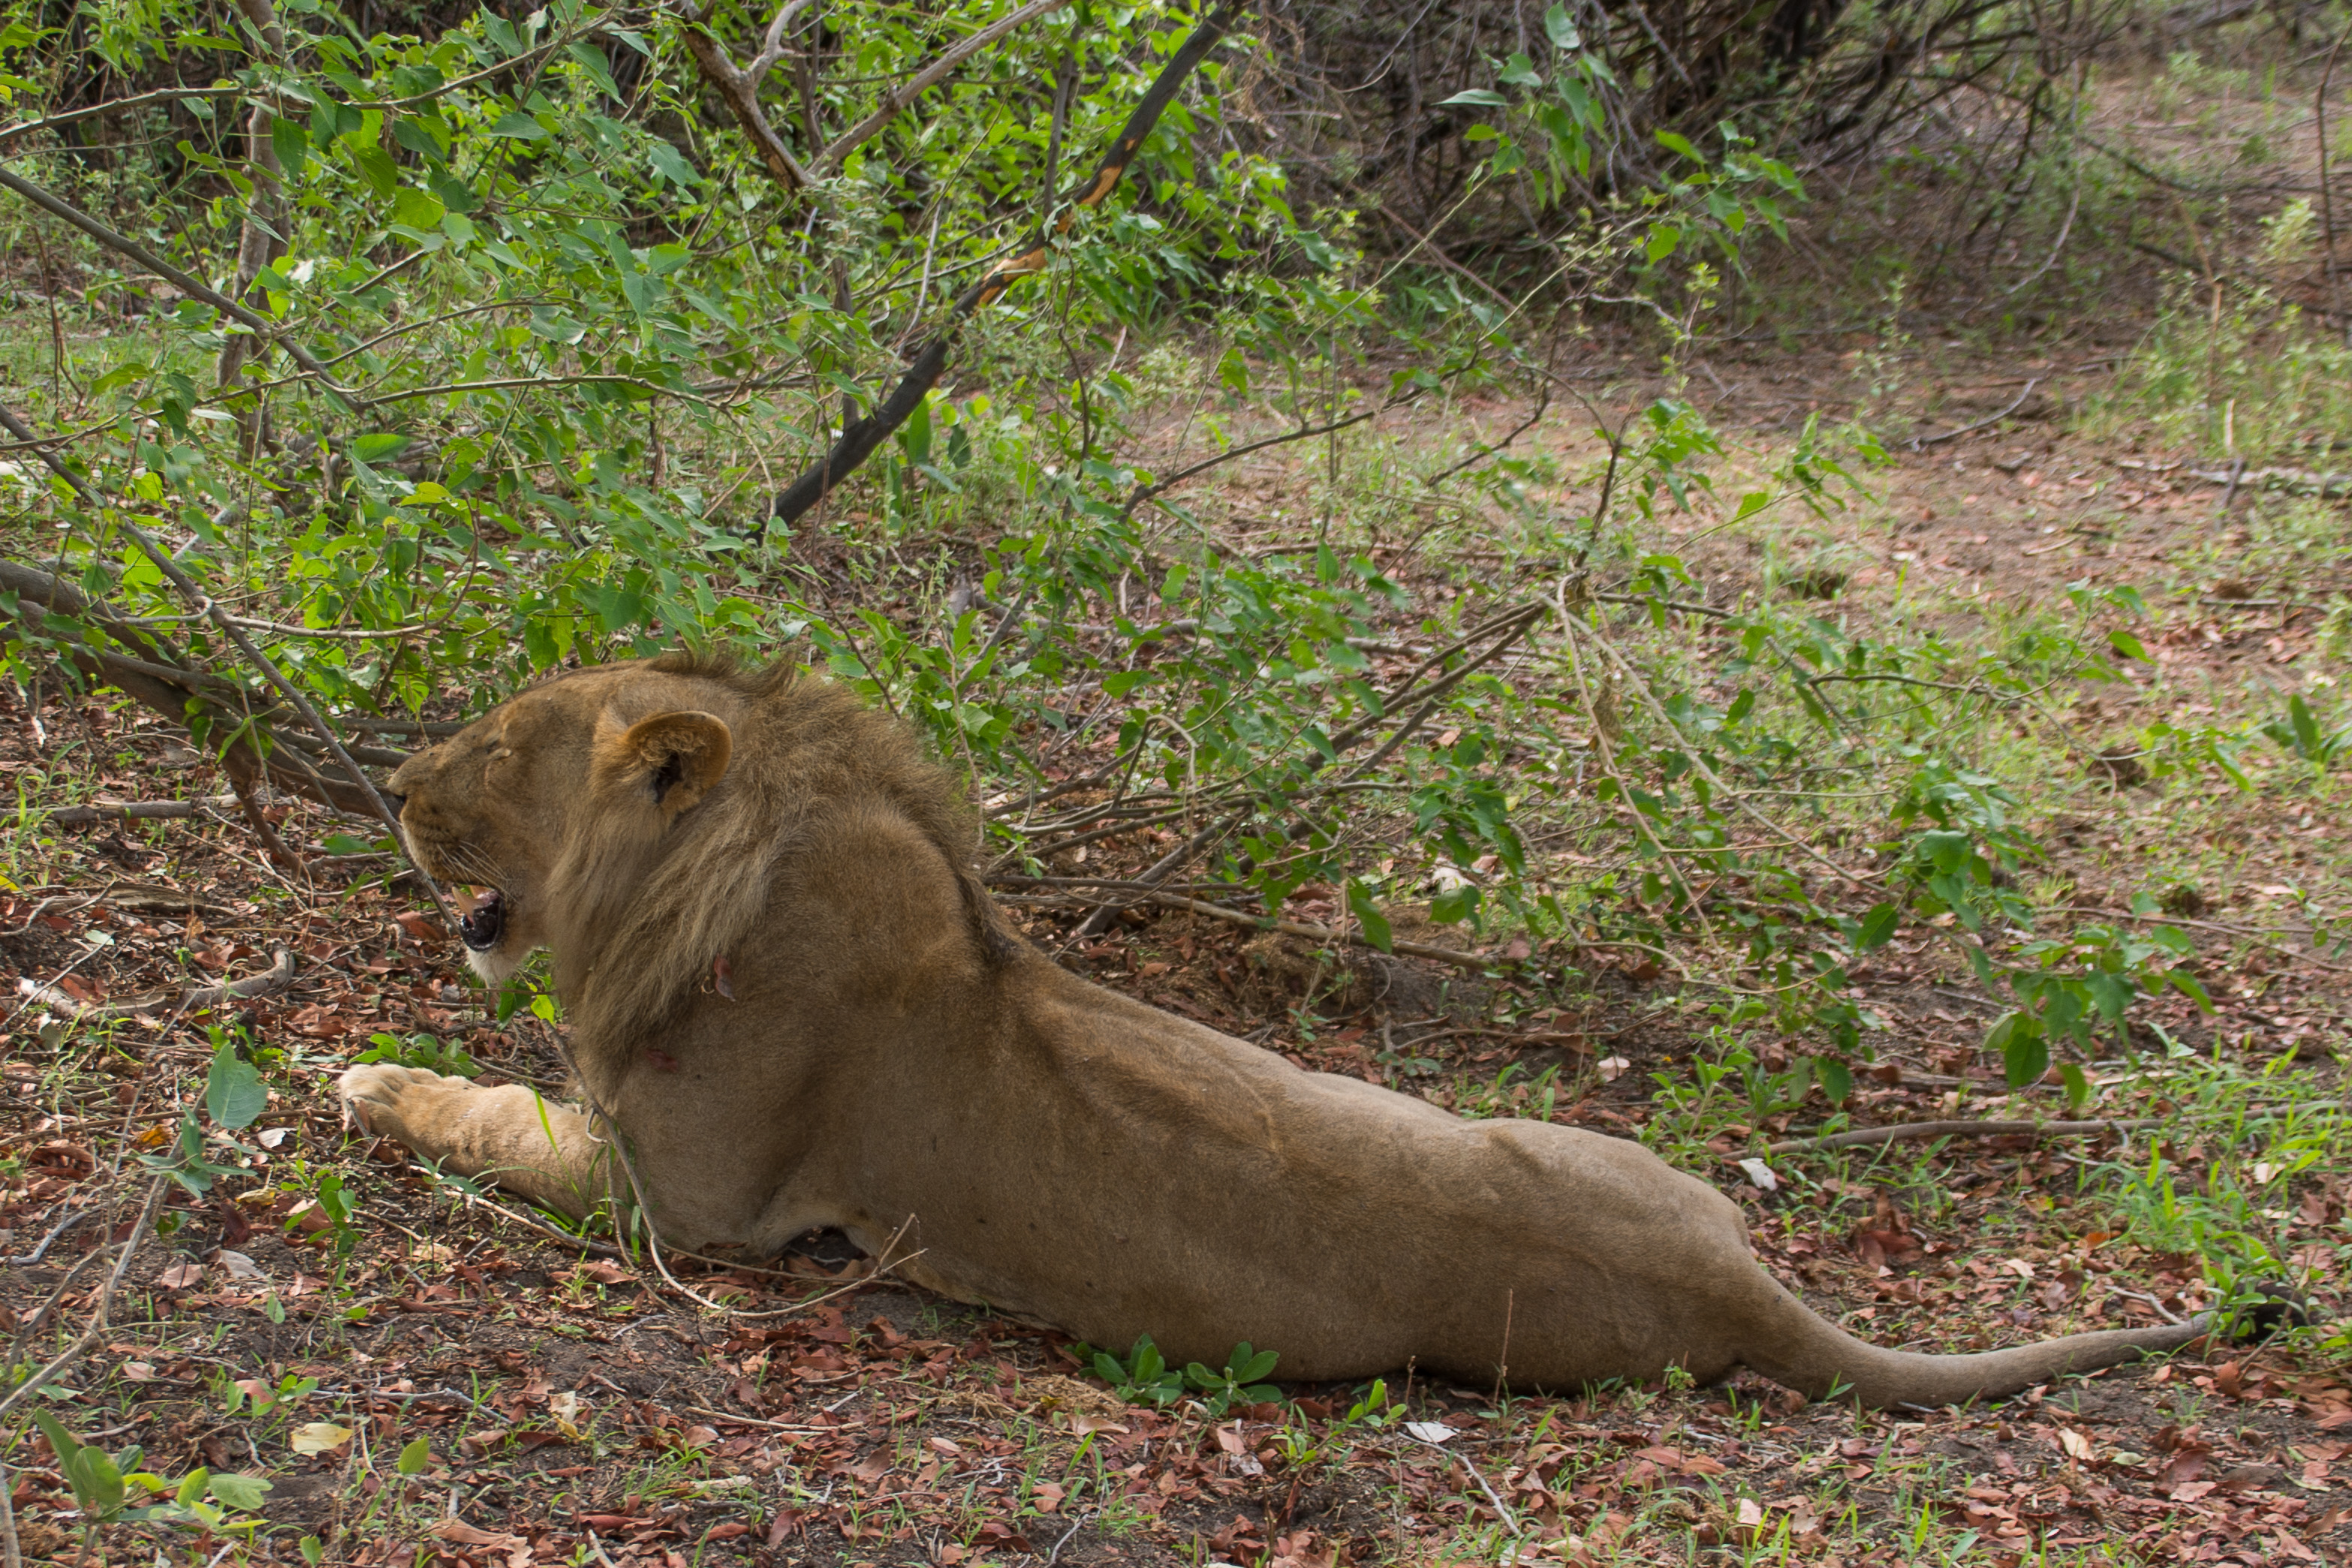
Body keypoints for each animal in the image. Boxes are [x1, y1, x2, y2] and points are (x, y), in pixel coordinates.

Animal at [341, 653, 2211, 1410]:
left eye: (494, 748)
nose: (391, 782)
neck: (707, 893)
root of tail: (1732, 1288)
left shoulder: (690, 1210)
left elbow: (490, 1112)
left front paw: (365, 1077)